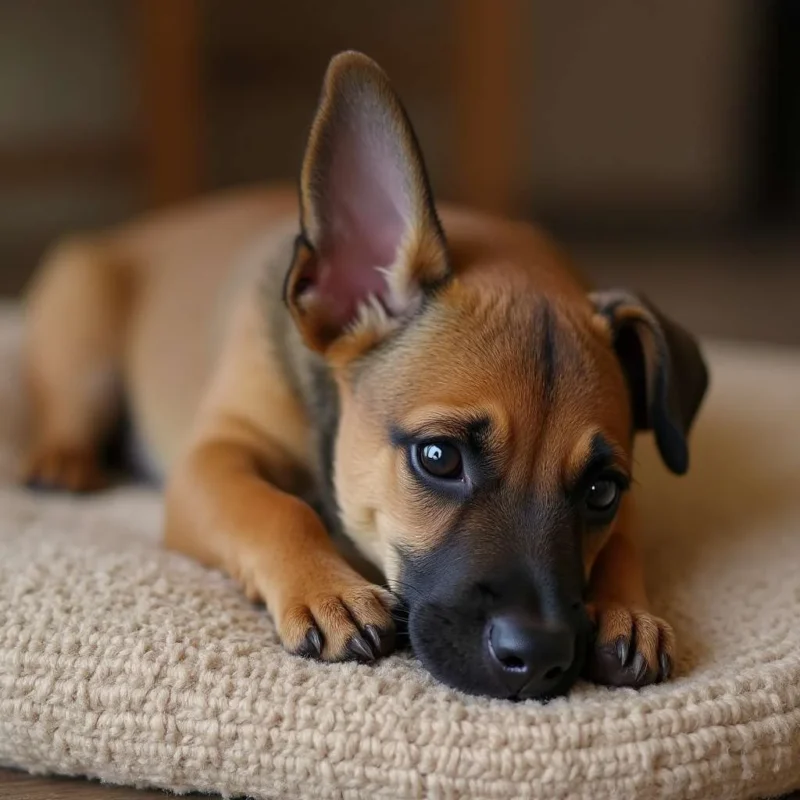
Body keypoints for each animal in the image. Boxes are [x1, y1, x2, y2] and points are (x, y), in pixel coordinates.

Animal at [18, 51, 708, 700]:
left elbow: (624, 544)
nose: (539, 657)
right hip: (86, 332)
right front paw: (329, 588)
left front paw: (627, 610)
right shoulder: (211, 461)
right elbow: (276, 508)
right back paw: (61, 459)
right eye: (437, 457)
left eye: (602, 491)